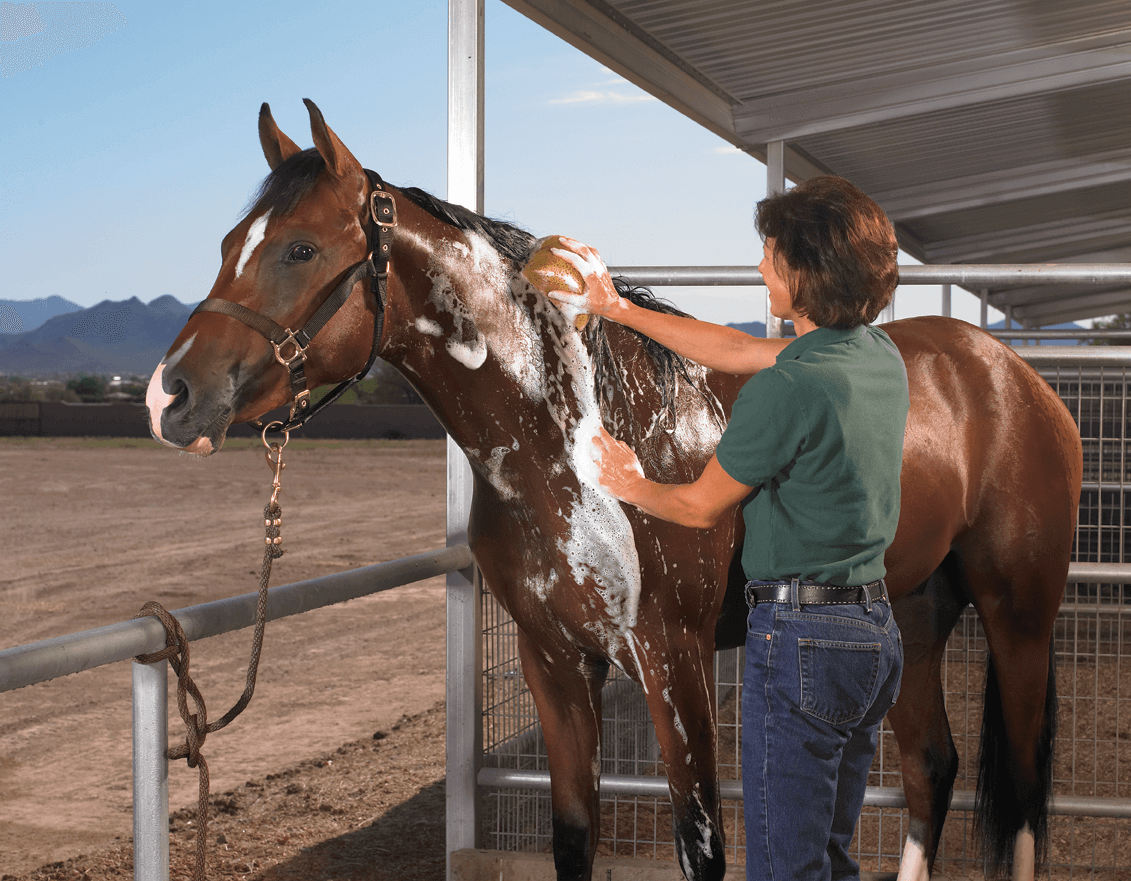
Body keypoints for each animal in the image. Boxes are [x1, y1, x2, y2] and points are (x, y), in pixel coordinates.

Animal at [145, 100, 1081, 881]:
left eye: (300, 248)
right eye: (228, 245)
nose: (170, 396)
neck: (575, 436)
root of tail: (1011, 374)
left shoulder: (674, 661)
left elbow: (702, 845)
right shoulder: (556, 662)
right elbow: (572, 836)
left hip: (1019, 615)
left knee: (1022, 793)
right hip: (914, 614)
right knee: (930, 769)